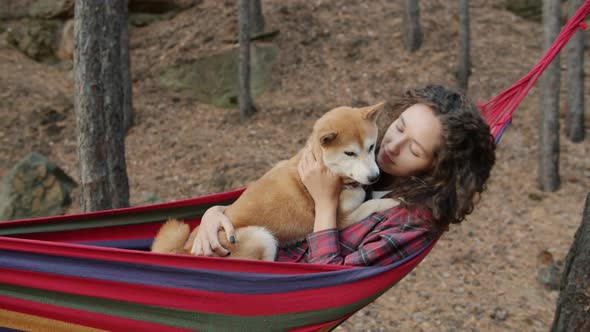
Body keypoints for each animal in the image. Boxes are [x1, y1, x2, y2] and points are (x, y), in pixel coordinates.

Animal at [153, 103, 402, 260]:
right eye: (350, 153)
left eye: (371, 147)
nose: (375, 177)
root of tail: (185, 252)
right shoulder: (341, 220)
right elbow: (371, 204)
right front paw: (393, 202)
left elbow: (374, 196)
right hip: (261, 237)